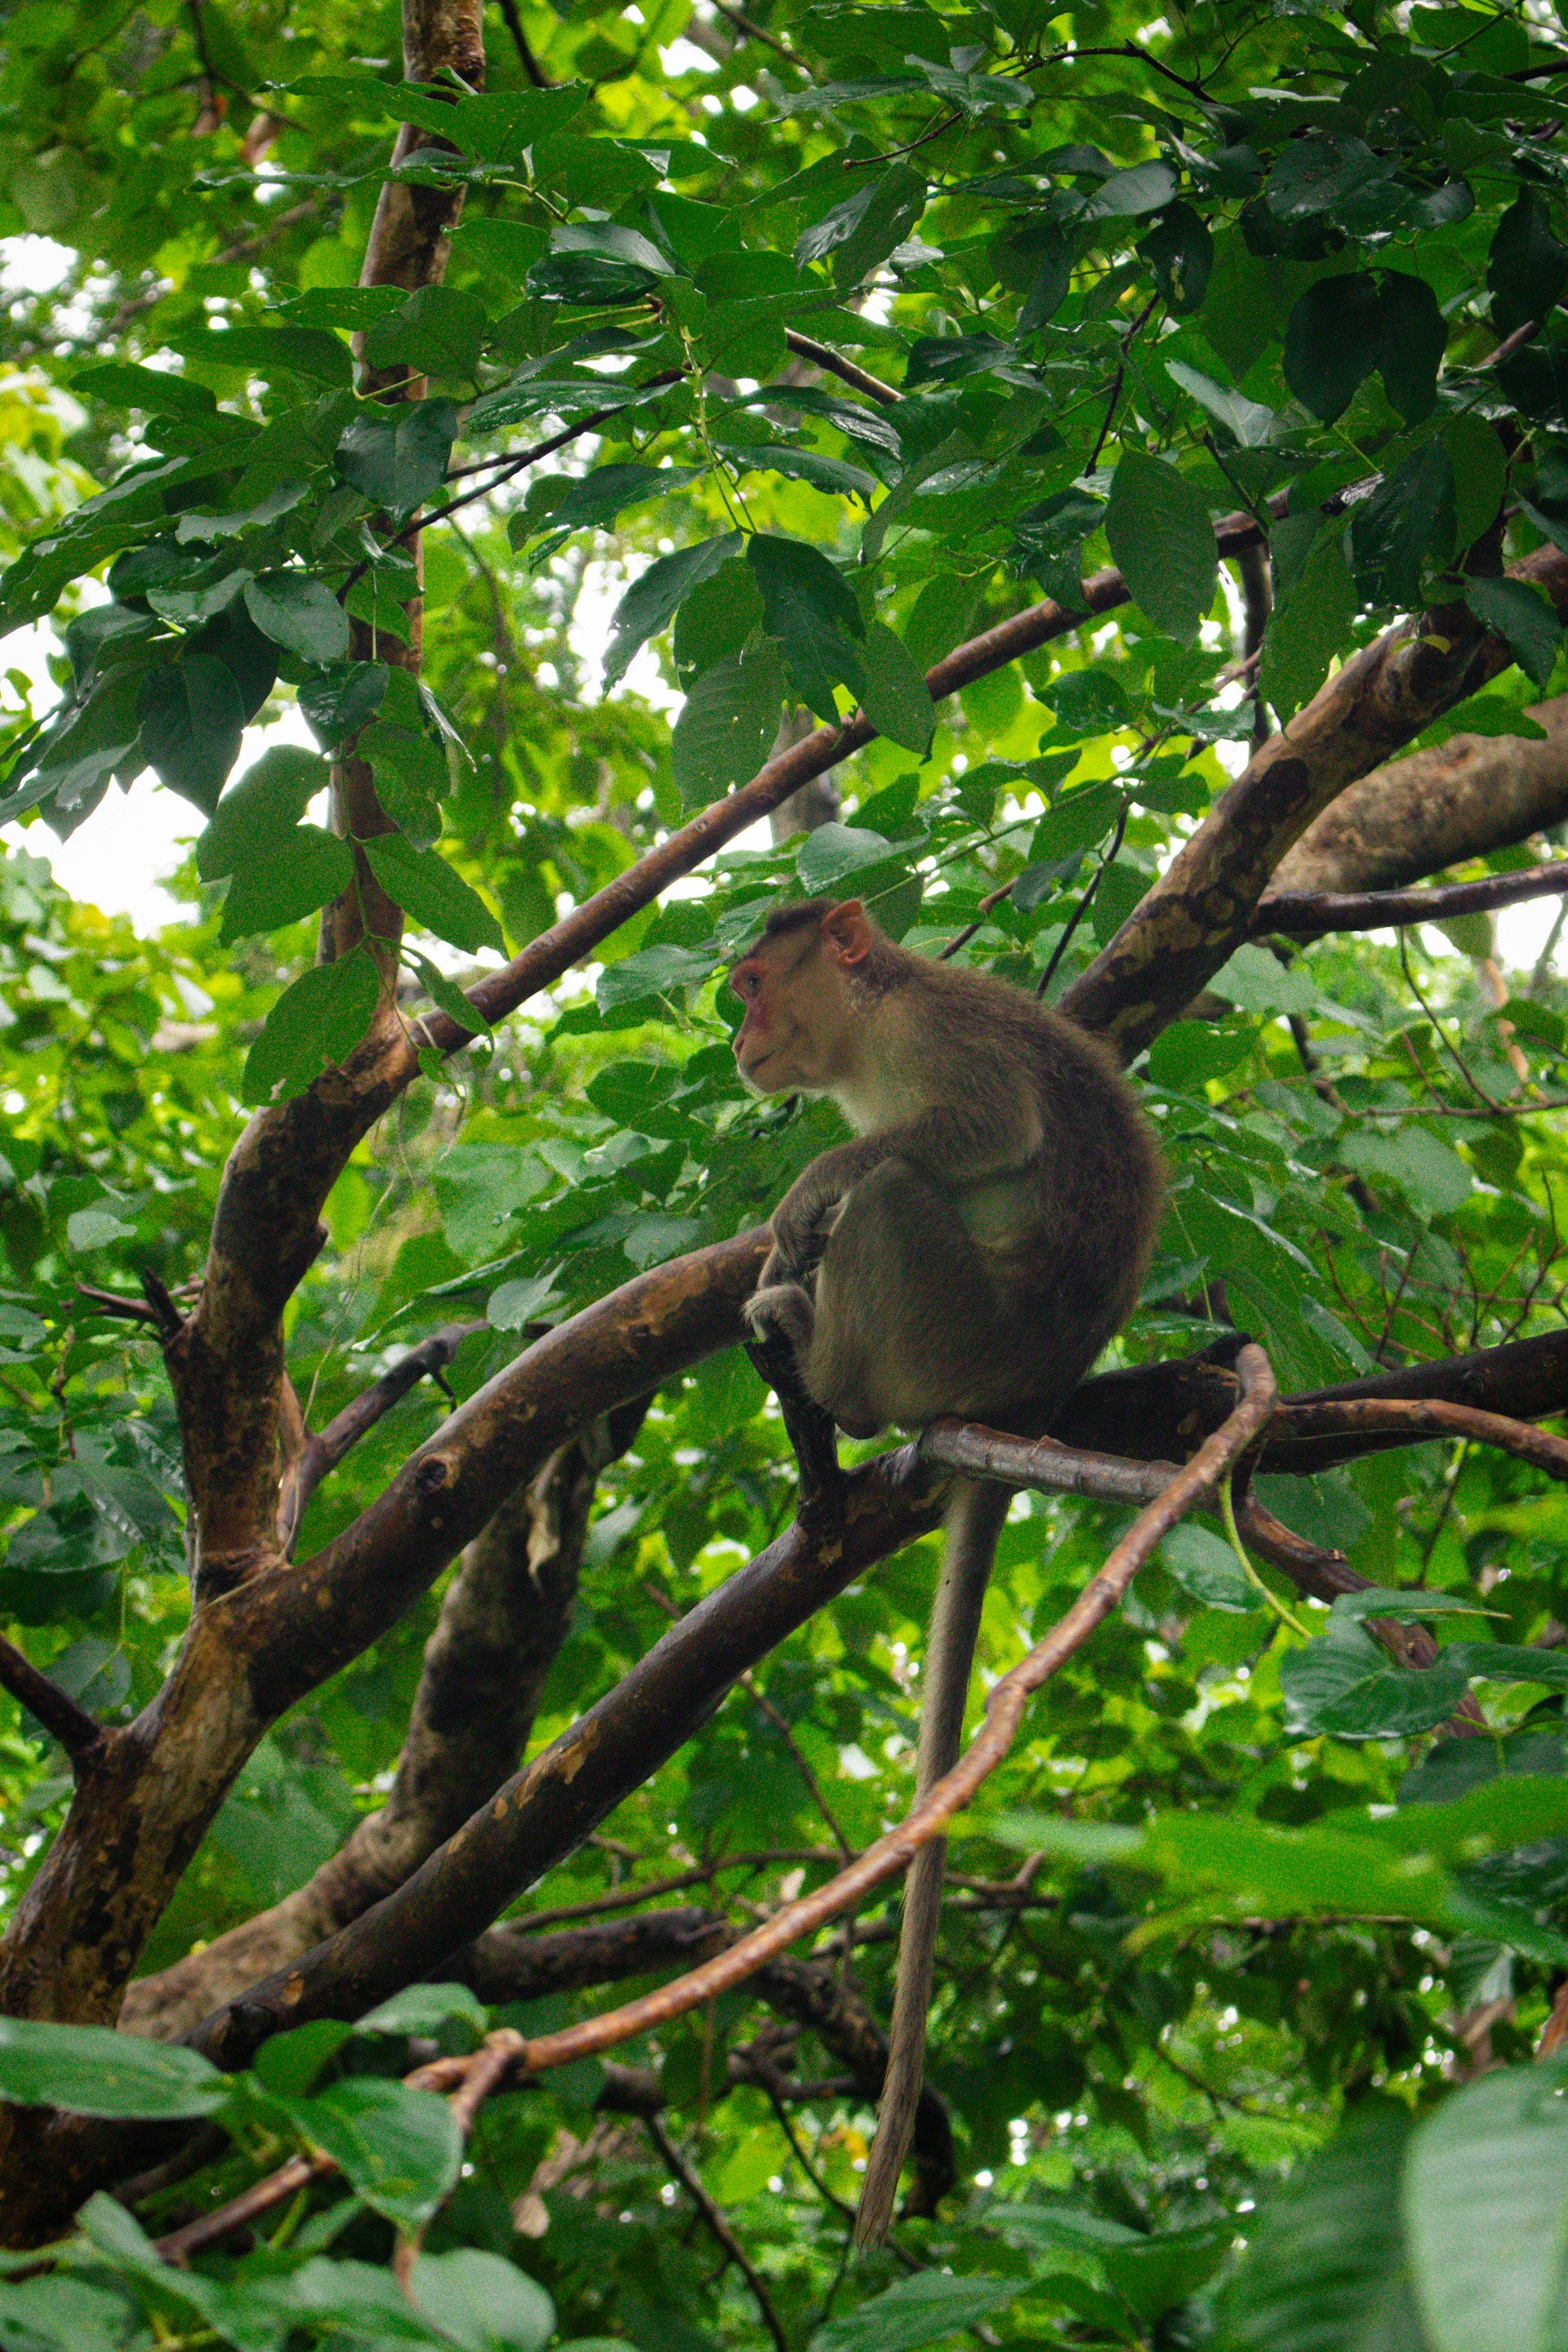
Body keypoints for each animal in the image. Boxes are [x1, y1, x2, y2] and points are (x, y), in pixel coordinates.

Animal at [728, 897, 1163, 2246]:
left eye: (754, 983)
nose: (741, 1036)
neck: (868, 1028)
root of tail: (1030, 1397)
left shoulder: (933, 1036)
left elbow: (979, 1132)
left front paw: (799, 1198)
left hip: (951, 1321)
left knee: (895, 1193)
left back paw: (828, 1365)